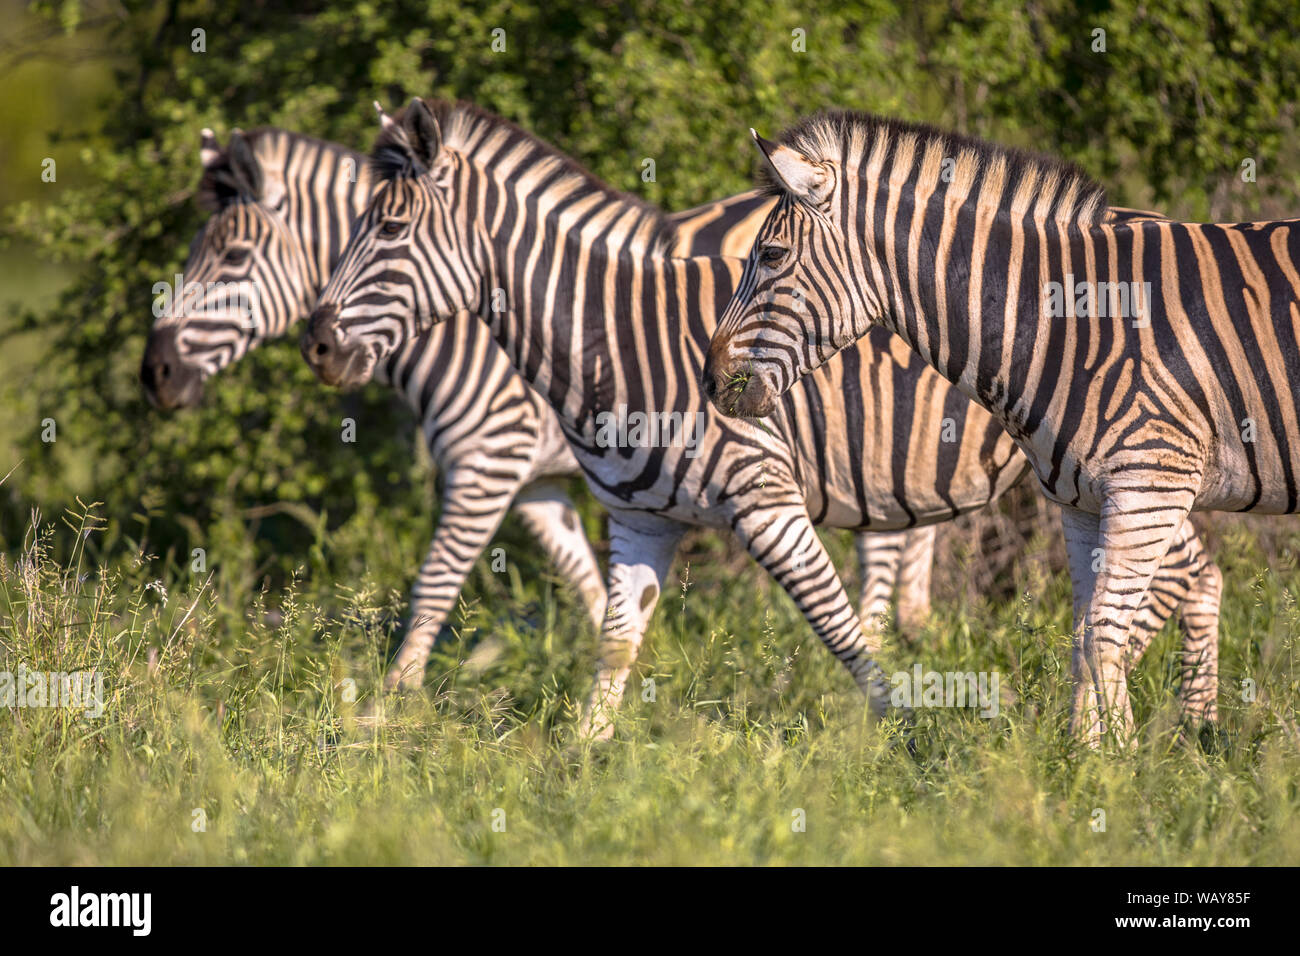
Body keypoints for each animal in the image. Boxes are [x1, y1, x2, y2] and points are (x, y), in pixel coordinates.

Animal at [138, 125, 928, 692]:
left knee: (890, 537)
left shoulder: (489, 455)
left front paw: (389, 713)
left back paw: (889, 638)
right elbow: (589, 584)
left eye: (234, 258)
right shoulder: (540, 482)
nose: (155, 374)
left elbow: (434, 586)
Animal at [299, 98, 1221, 738]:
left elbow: (838, 627)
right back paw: (1179, 728)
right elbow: (614, 642)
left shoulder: (761, 491)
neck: (611, 333)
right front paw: (581, 766)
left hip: (1120, 469)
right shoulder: (638, 513)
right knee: (1193, 576)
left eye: (387, 229)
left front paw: (904, 736)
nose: (317, 344)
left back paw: (1156, 730)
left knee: (1178, 578)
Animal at [700, 110, 1274, 744]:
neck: (1073, 322)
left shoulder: (1150, 478)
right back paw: (1196, 727)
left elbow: (1100, 634)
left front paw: (1113, 762)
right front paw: (1089, 756)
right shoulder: (1092, 494)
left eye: (773, 255)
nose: (710, 379)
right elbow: (1086, 633)